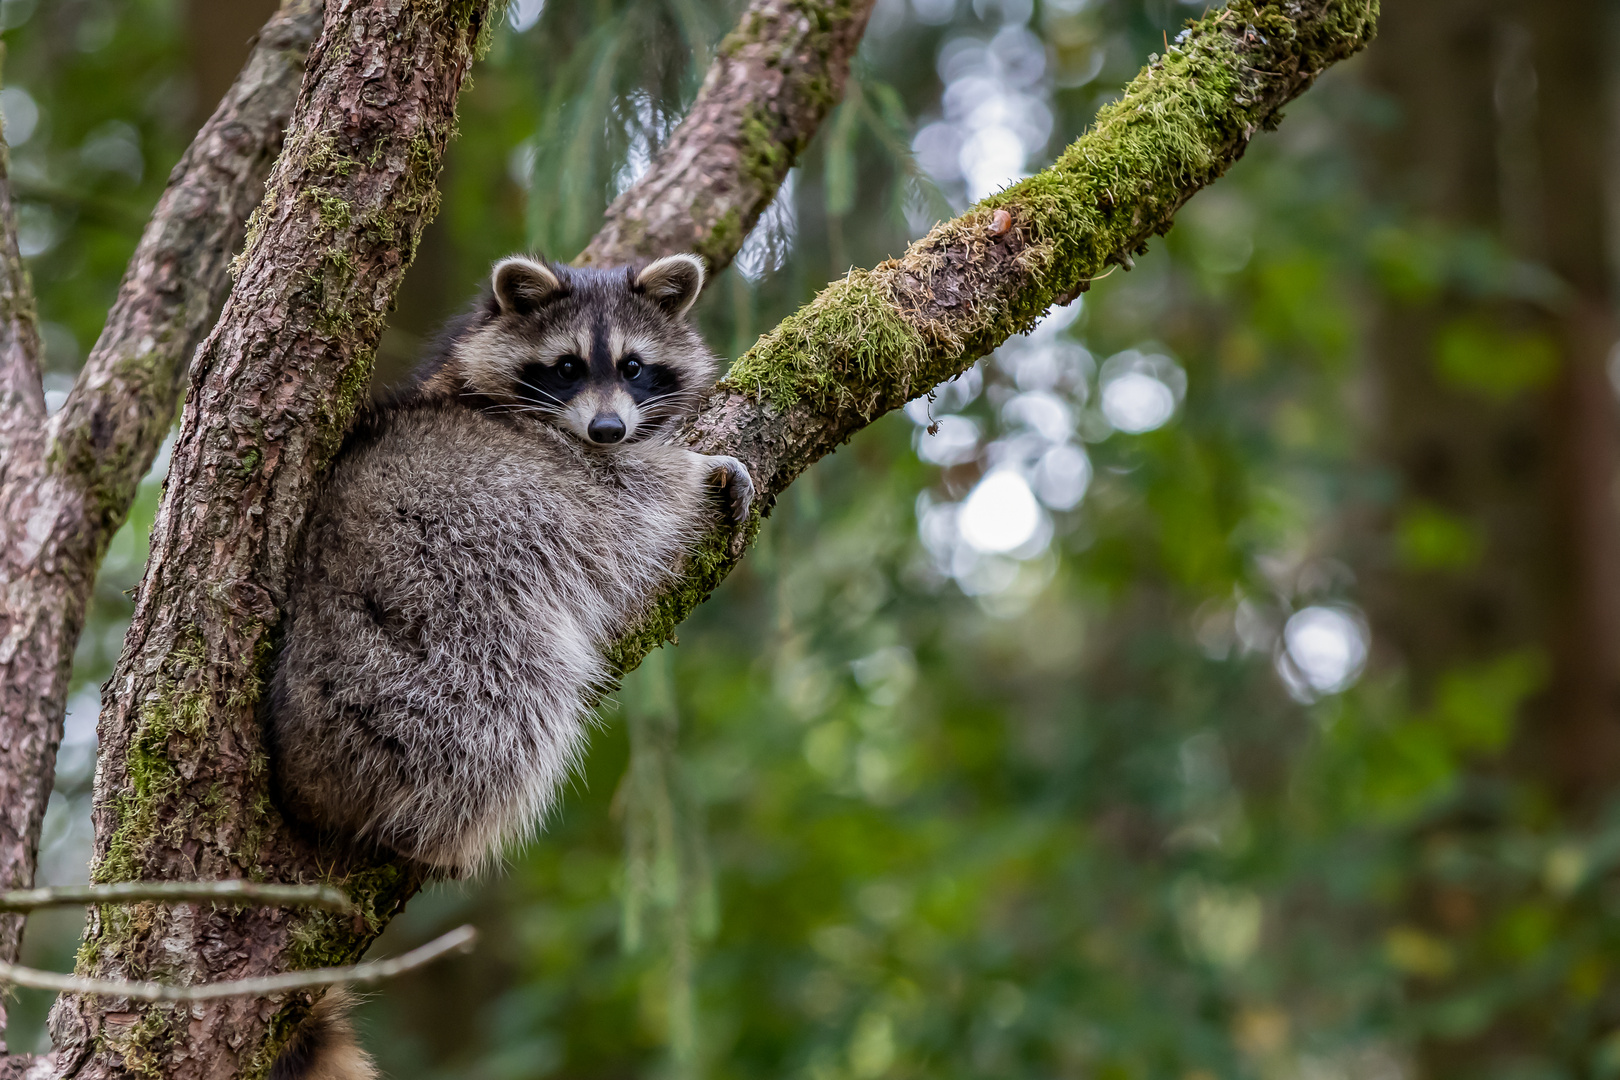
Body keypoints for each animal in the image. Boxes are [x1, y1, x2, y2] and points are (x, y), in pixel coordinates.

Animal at [267, 255, 751, 880]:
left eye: (634, 367)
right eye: (567, 367)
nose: (608, 430)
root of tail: (301, 773)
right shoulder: (546, 475)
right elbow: (628, 498)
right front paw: (696, 465)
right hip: (442, 640)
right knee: (508, 709)